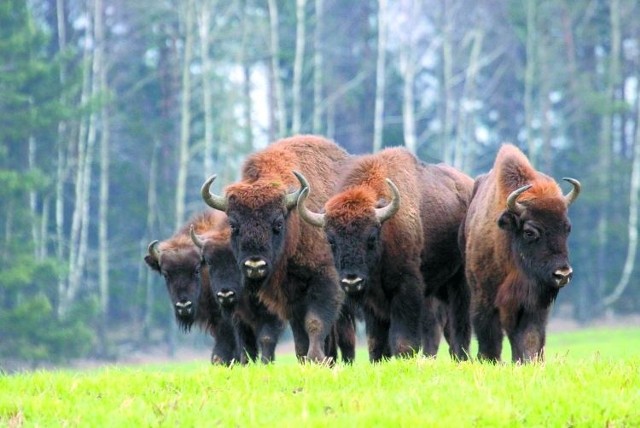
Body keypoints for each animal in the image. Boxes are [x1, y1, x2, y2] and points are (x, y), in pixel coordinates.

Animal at [189, 224, 286, 364]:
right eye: (209, 262)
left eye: (237, 259)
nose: (225, 295)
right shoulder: (239, 319)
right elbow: (246, 346)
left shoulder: (271, 314)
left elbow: (266, 338)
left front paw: (266, 363)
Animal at [200, 135, 350, 362]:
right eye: (234, 225)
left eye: (278, 223)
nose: (255, 265)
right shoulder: (290, 298)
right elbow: (300, 334)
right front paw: (305, 358)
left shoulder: (326, 281)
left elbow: (315, 323)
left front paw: (315, 358)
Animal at [298, 147, 472, 362]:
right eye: (331, 240)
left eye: (372, 237)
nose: (352, 281)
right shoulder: (372, 303)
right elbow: (377, 344)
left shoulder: (406, 289)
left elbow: (403, 340)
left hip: (459, 283)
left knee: (459, 323)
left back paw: (461, 356)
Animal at [460, 144, 580, 362]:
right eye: (529, 232)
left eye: (567, 228)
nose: (563, 274)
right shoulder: (484, 298)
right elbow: (489, 337)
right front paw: (489, 360)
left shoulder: (533, 304)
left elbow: (529, 338)